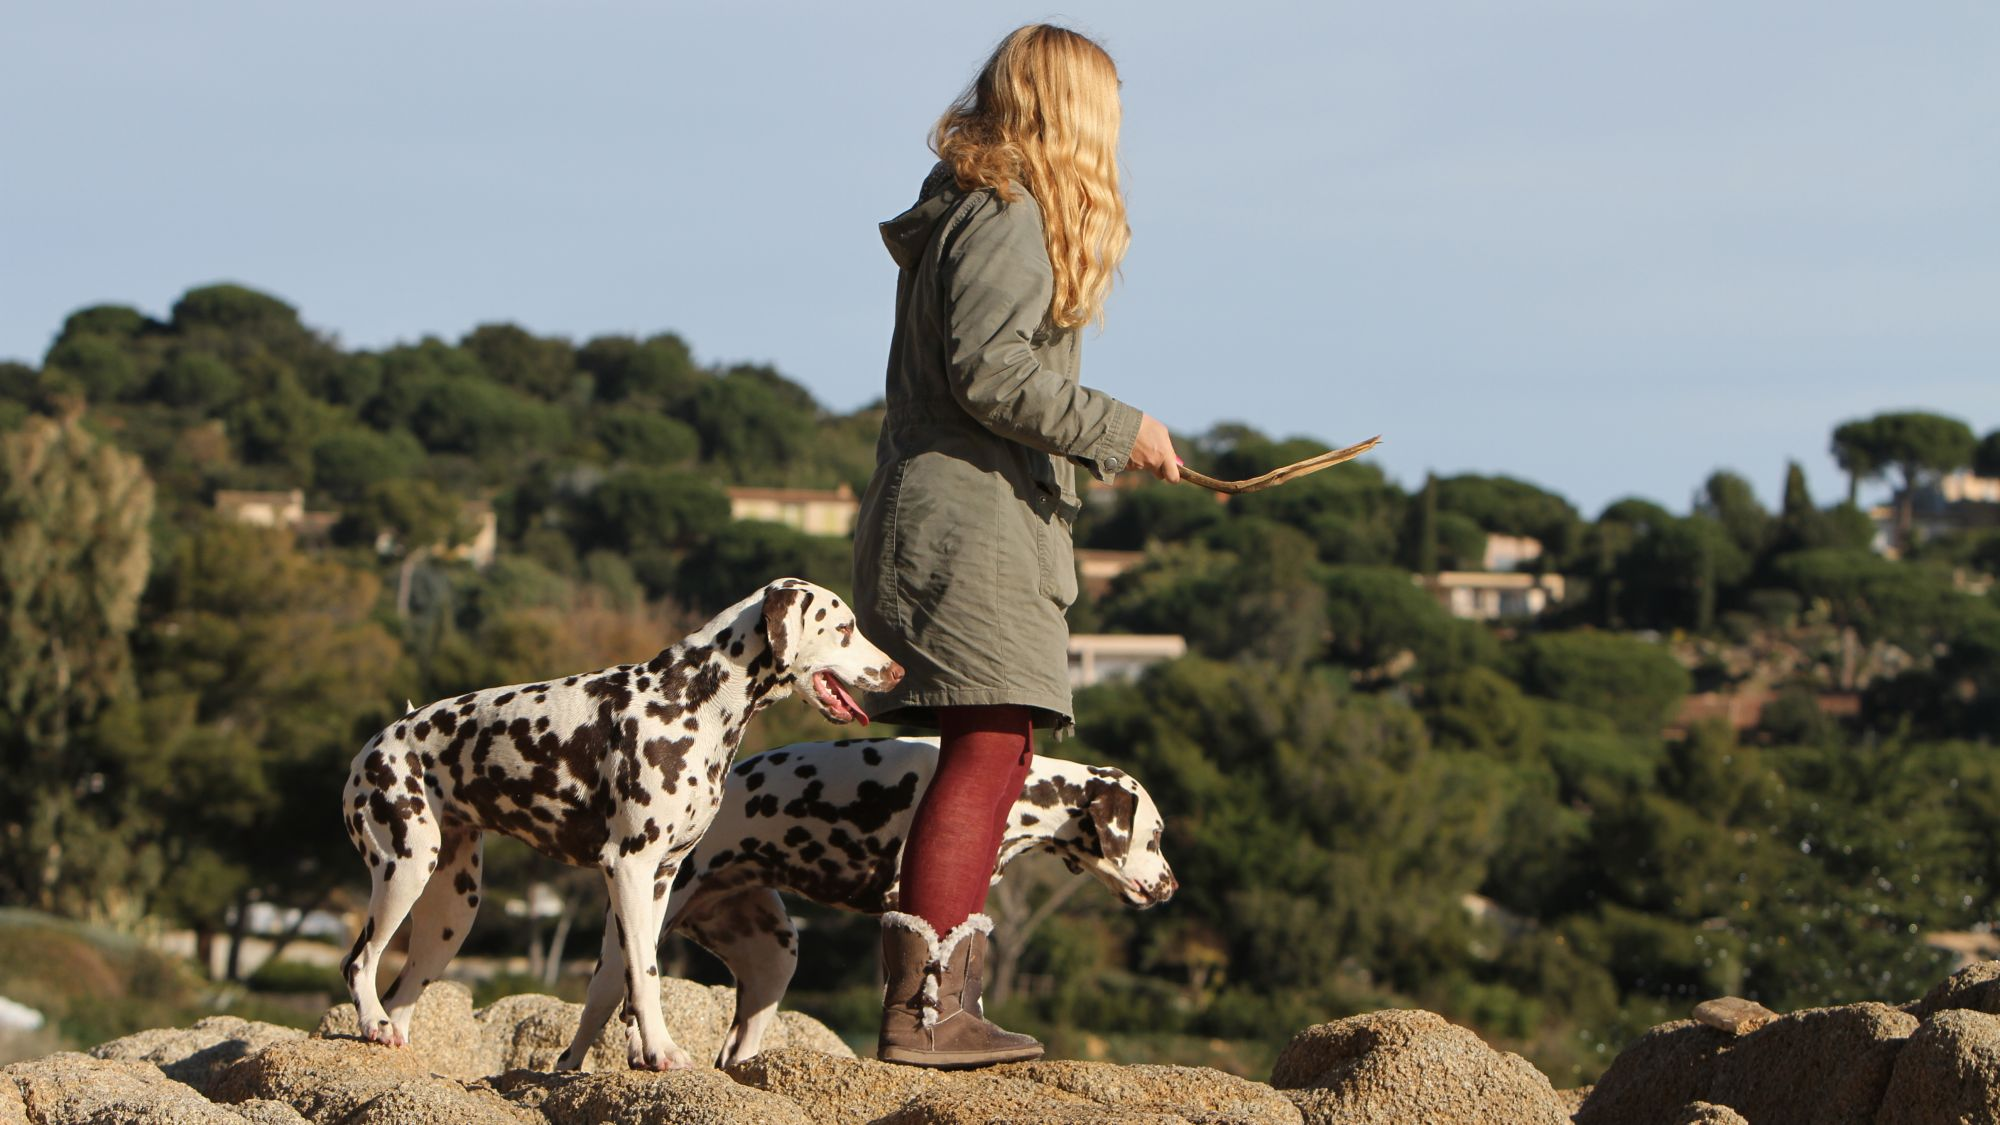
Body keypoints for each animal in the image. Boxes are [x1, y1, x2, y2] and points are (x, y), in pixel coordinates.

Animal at [344, 576, 900, 1064]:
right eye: (845, 628)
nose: (896, 671)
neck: (690, 698)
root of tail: (387, 736)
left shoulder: (662, 877)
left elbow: (637, 976)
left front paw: (644, 1051)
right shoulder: (630, 867)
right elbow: (646, 973)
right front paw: (662, 1051)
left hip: (450, 913)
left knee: (401, 995)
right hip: (404, 869)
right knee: (360, 963)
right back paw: (371, 1022)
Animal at [556, 732, 1176, 1064]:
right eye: (1154, 835)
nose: (1171, 886)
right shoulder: (908, 896)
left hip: (773, 962)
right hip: (620, 956)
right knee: (582, 1040)